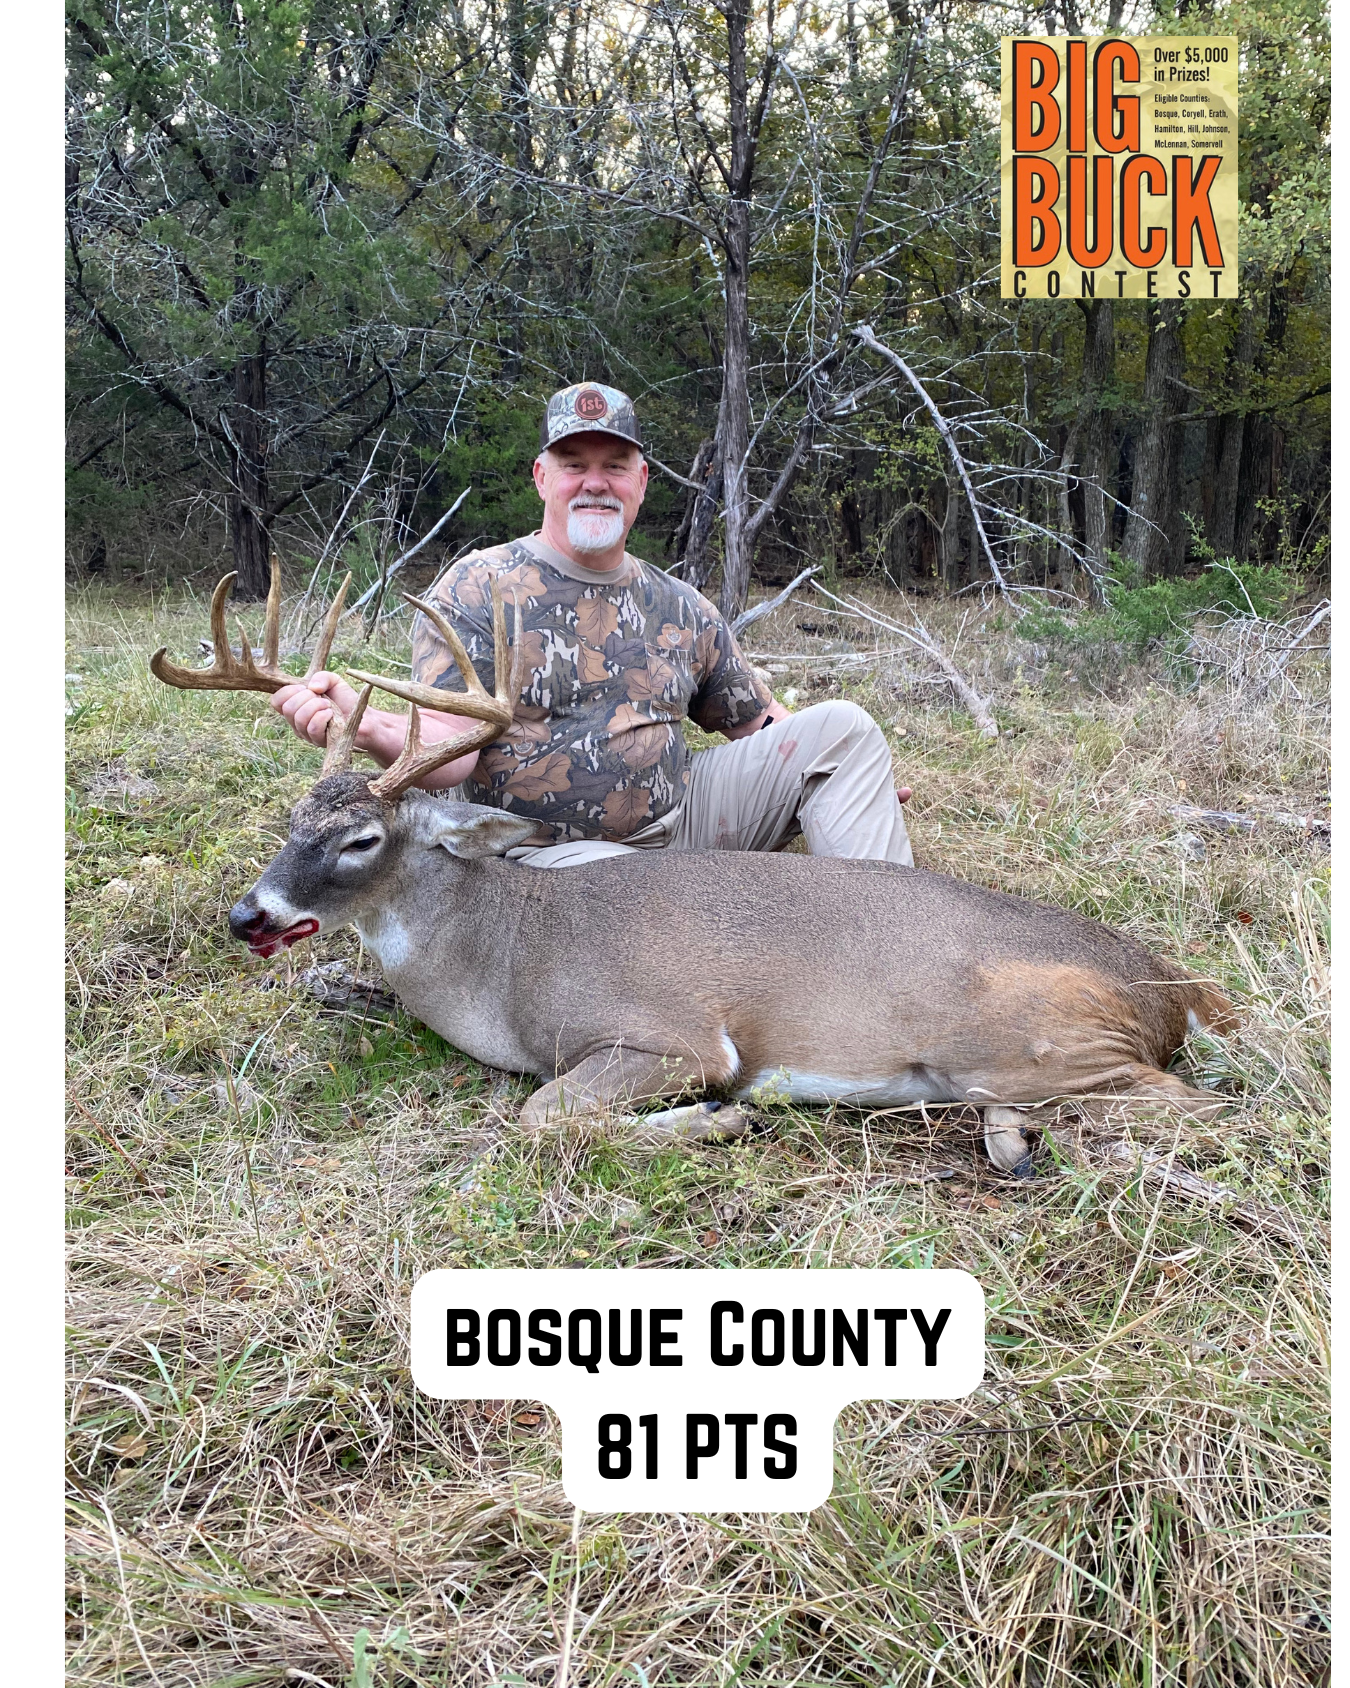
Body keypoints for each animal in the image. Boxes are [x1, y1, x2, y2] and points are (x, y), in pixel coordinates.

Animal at [151, 561, 1235, 1177]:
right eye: (293, 818)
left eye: (360, 841)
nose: (248, 914)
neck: (502, 961)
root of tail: (1174, 986)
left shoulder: (669, 1031)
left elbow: (544, 1117)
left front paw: (715, 1122)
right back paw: (1012, 1146)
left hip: (1029, 1035)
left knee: (1202, 1110)